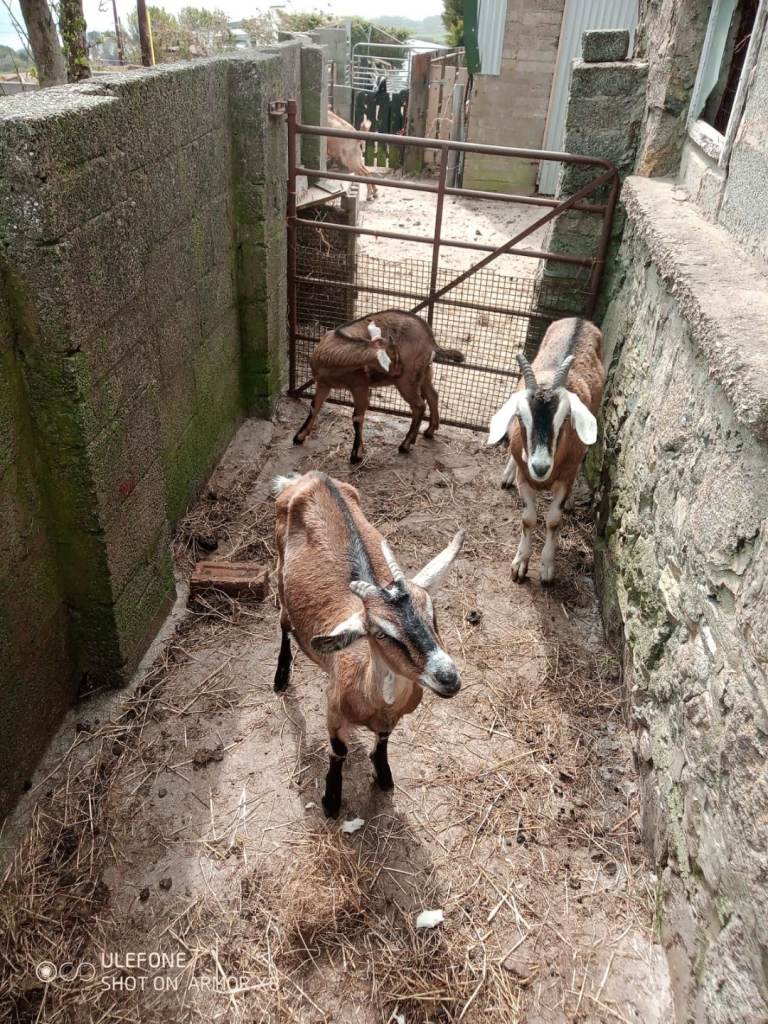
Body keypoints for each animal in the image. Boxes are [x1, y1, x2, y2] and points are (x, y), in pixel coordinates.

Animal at [272, 470, 464, 817]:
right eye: (382, 633)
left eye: (433, 613)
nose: (448, 678)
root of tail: (312, 477)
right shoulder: (334, 710)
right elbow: (338, 751)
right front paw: (331, 799)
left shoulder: (392, 719)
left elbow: (384, 741)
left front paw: (384, 774)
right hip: (280, 570)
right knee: (283, 621)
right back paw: (280, 677)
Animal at [294, 309, 465, 464]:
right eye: (394, 358)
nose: (400, 369)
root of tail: (431, 339)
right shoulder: (322, 383)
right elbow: (314, 406)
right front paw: (299, 437)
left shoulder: (360, 386)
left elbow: (357, 417)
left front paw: (356, 455)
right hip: (424, 372)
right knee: (432, 395)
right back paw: (429, 431)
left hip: (407, 380)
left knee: (419, 406)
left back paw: (405, 445)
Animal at [487, 317, 604, 584]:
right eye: (520, 417)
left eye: (566, 419)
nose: (539, 467)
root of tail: (579, 320)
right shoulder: (525, 478)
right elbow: (528, 519)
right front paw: (519, 564)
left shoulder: (564, 478)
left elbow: (553, 521)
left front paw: (547, 567)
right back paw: (506, 476)